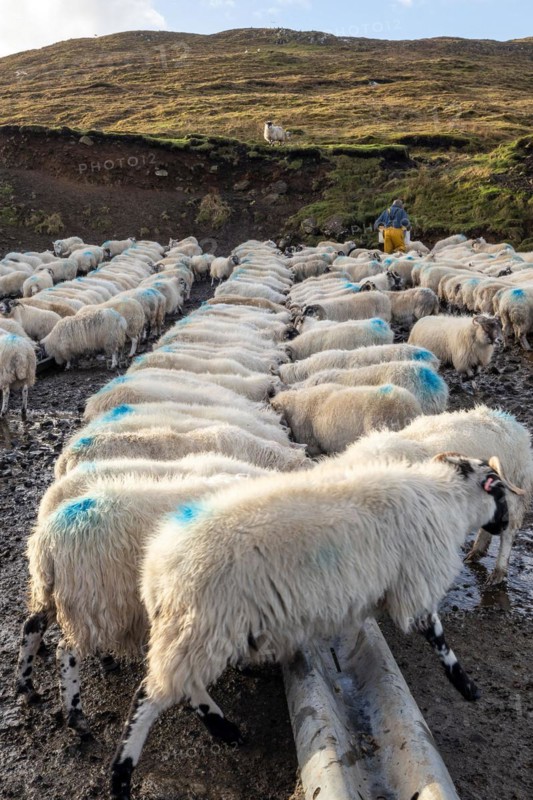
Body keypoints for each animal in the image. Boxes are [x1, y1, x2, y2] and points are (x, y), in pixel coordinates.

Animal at [109, 454, 519, 798]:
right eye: (499, 490)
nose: (505, 524)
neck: (446, 501)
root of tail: (155, 568)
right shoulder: (415, 585)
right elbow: (438, 637)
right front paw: (467, 687)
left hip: (200, 629)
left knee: (186, 684)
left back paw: (226, 729)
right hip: (201, 623)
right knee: (151, 695)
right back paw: (121, 775)